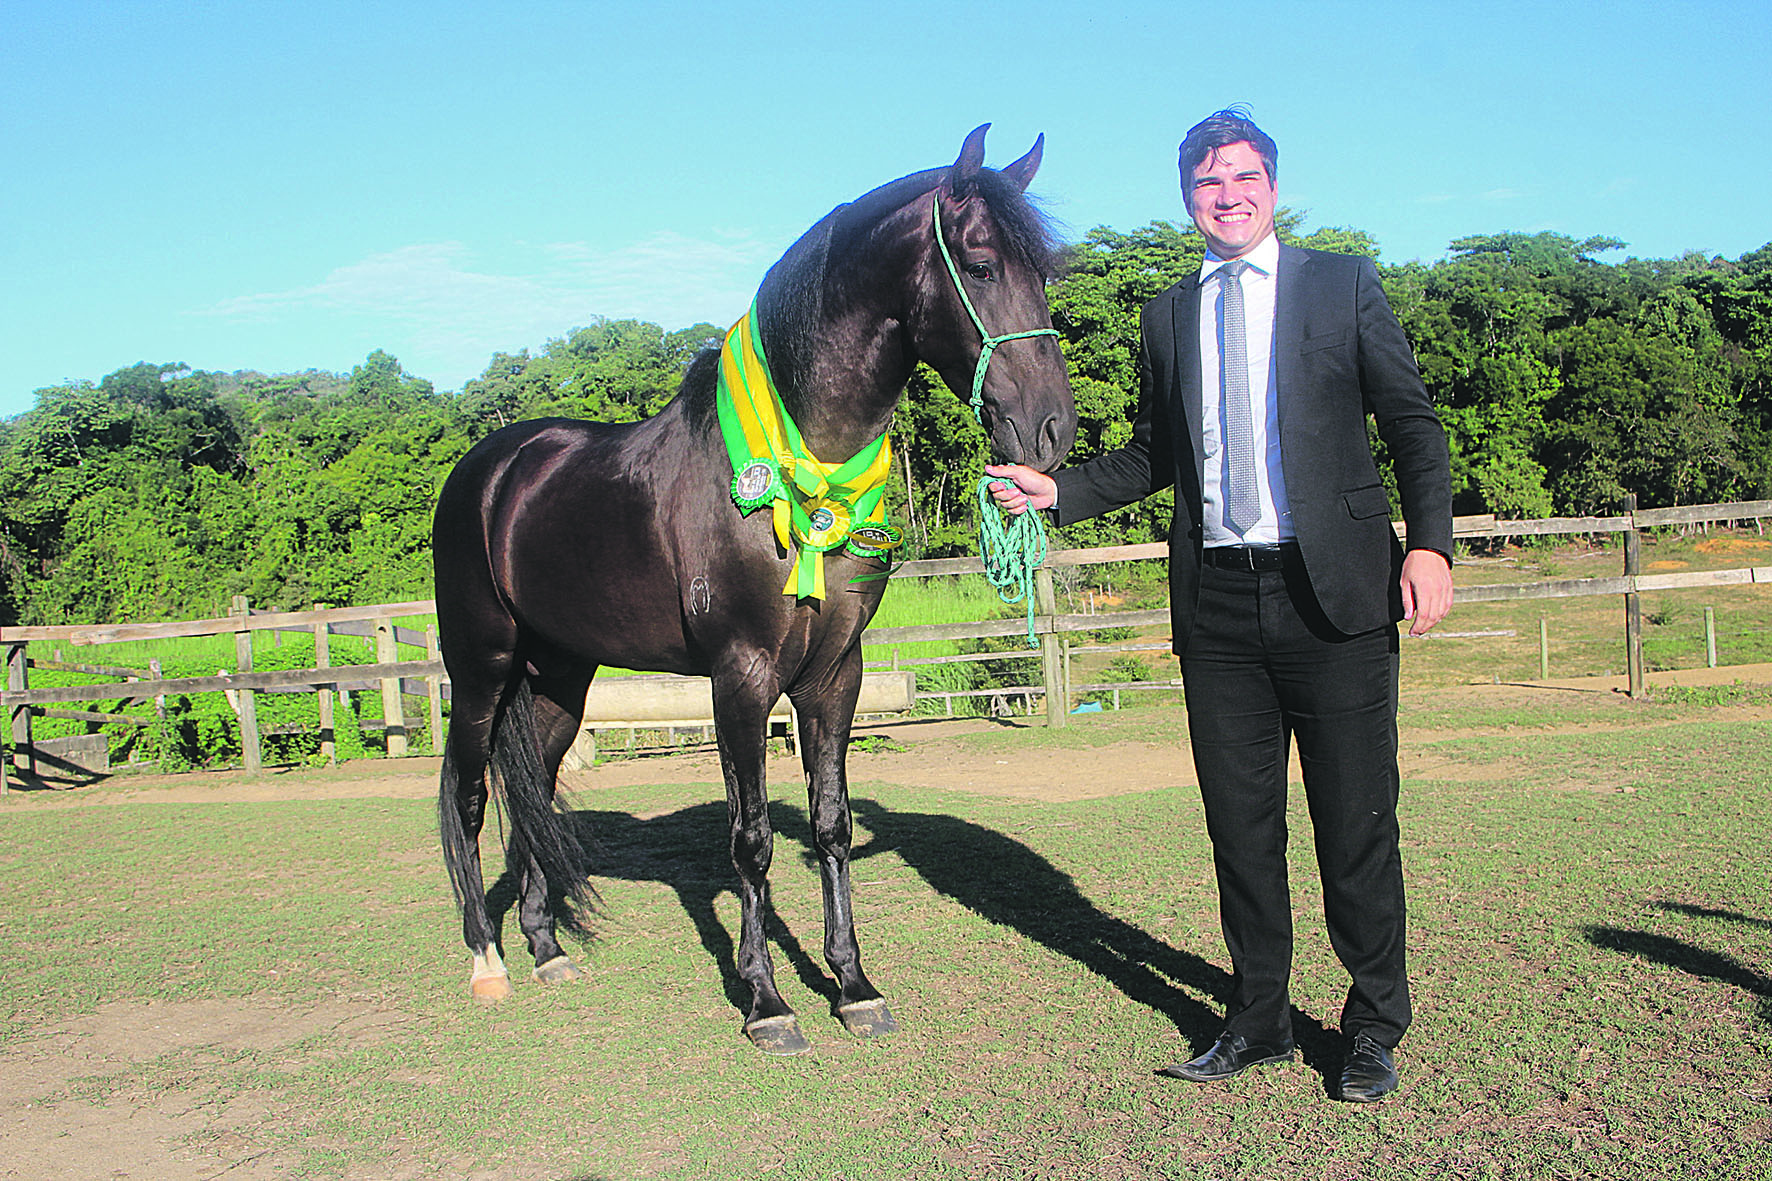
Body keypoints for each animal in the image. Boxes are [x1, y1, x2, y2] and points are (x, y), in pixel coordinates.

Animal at [432, 125, 1076, 1055]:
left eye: (1047, 271)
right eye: (983, 265)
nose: (1052, 428)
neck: (806, 463)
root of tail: (490, 469)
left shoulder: (835, 674)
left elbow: (831, 824)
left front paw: (853, 986)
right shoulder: (739, 679)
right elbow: (751, 840)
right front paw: (768, 1002)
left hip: (558, 680)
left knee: (532, 796)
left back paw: (547, 950)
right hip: (482, 667)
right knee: (472, 794)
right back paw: (490, 961)